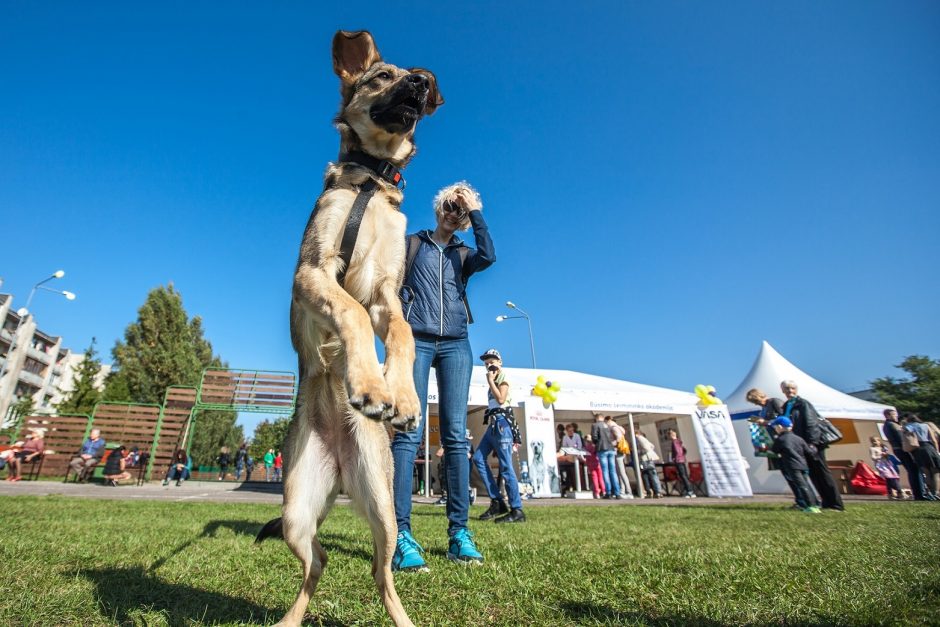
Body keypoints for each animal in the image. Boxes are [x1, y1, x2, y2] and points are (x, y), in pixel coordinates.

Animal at [253, 30, 444, 627]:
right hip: (296, 511)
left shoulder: (388, 293)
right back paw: (290, 620)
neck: (371, 182)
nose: (422, 82)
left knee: (381, 575)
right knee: (317, 564)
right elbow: (351, 314)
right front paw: (368, 384)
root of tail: (338, 469)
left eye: (415, 77)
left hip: (383, 511)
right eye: (381, 76)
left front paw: (400, 396)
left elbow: (402, 336)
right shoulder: (315, 271)